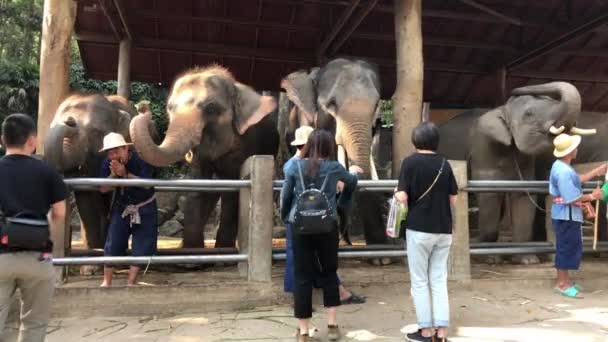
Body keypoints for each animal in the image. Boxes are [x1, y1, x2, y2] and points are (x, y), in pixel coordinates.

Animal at [131, 65, 280, 248]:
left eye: (211, 109)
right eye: (170, 108)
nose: (143, 108)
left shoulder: (247, 143)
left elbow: (233, 190)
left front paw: (223, 250)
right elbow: (198, 183)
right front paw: (191, 253)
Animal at [436, 81, 600, 264]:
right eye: (529, 114)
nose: (515, 90)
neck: (502, 111)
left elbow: (524, 195)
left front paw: (528, 260)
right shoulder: (484, 149)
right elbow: (489, 195)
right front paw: (491, 258)